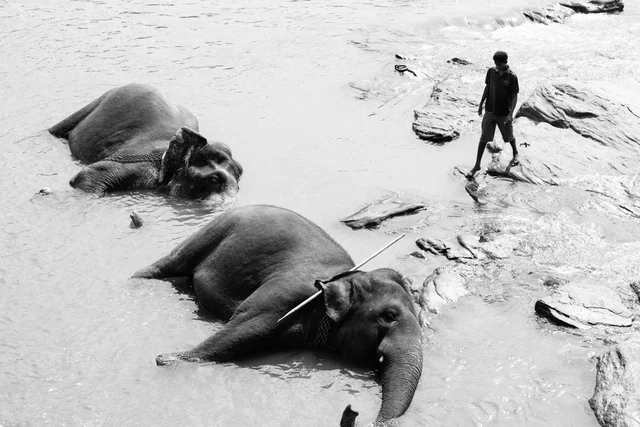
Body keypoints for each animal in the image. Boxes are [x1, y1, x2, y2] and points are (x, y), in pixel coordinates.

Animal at [133, 205, 423, 426]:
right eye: (388, 315)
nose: (359, 414)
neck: (344, 277)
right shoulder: (283, 296)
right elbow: (239, 331)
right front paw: (168, 359)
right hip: (211, 232)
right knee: (167, 264)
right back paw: (135, 279)